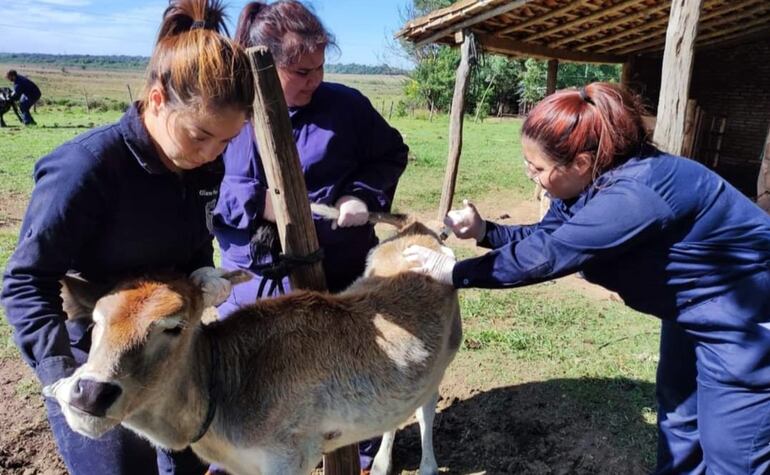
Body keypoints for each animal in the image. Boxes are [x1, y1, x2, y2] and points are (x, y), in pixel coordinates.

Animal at [45, 211, 460, 475]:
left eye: (174, 326)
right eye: (96, 322)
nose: (90, 392)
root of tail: (418, 228)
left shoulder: (290, 456)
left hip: (448, 353)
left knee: (427, 406)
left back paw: (427, 467)